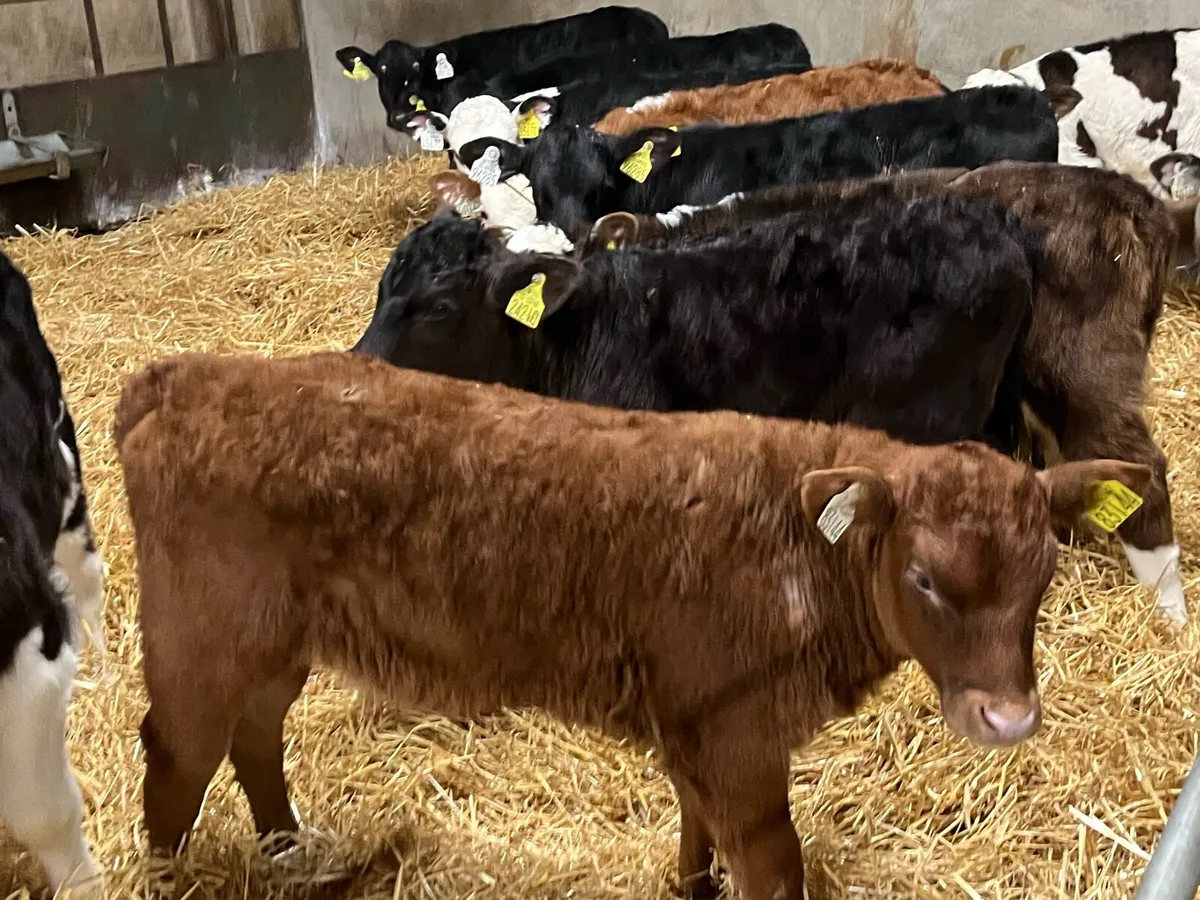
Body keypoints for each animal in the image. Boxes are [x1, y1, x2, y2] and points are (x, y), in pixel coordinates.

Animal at [114, 349, 1149, 900]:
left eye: (1045, 573)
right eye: (925, 578)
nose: (1009, 719)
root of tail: (187, 374)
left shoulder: (695, 719)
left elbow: (697, 827)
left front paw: (688, 886)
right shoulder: (736, 733)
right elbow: (771, 861)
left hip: (273, 644)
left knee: (253, 737)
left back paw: (287, 849)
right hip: (200, 638)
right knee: (175, 755)